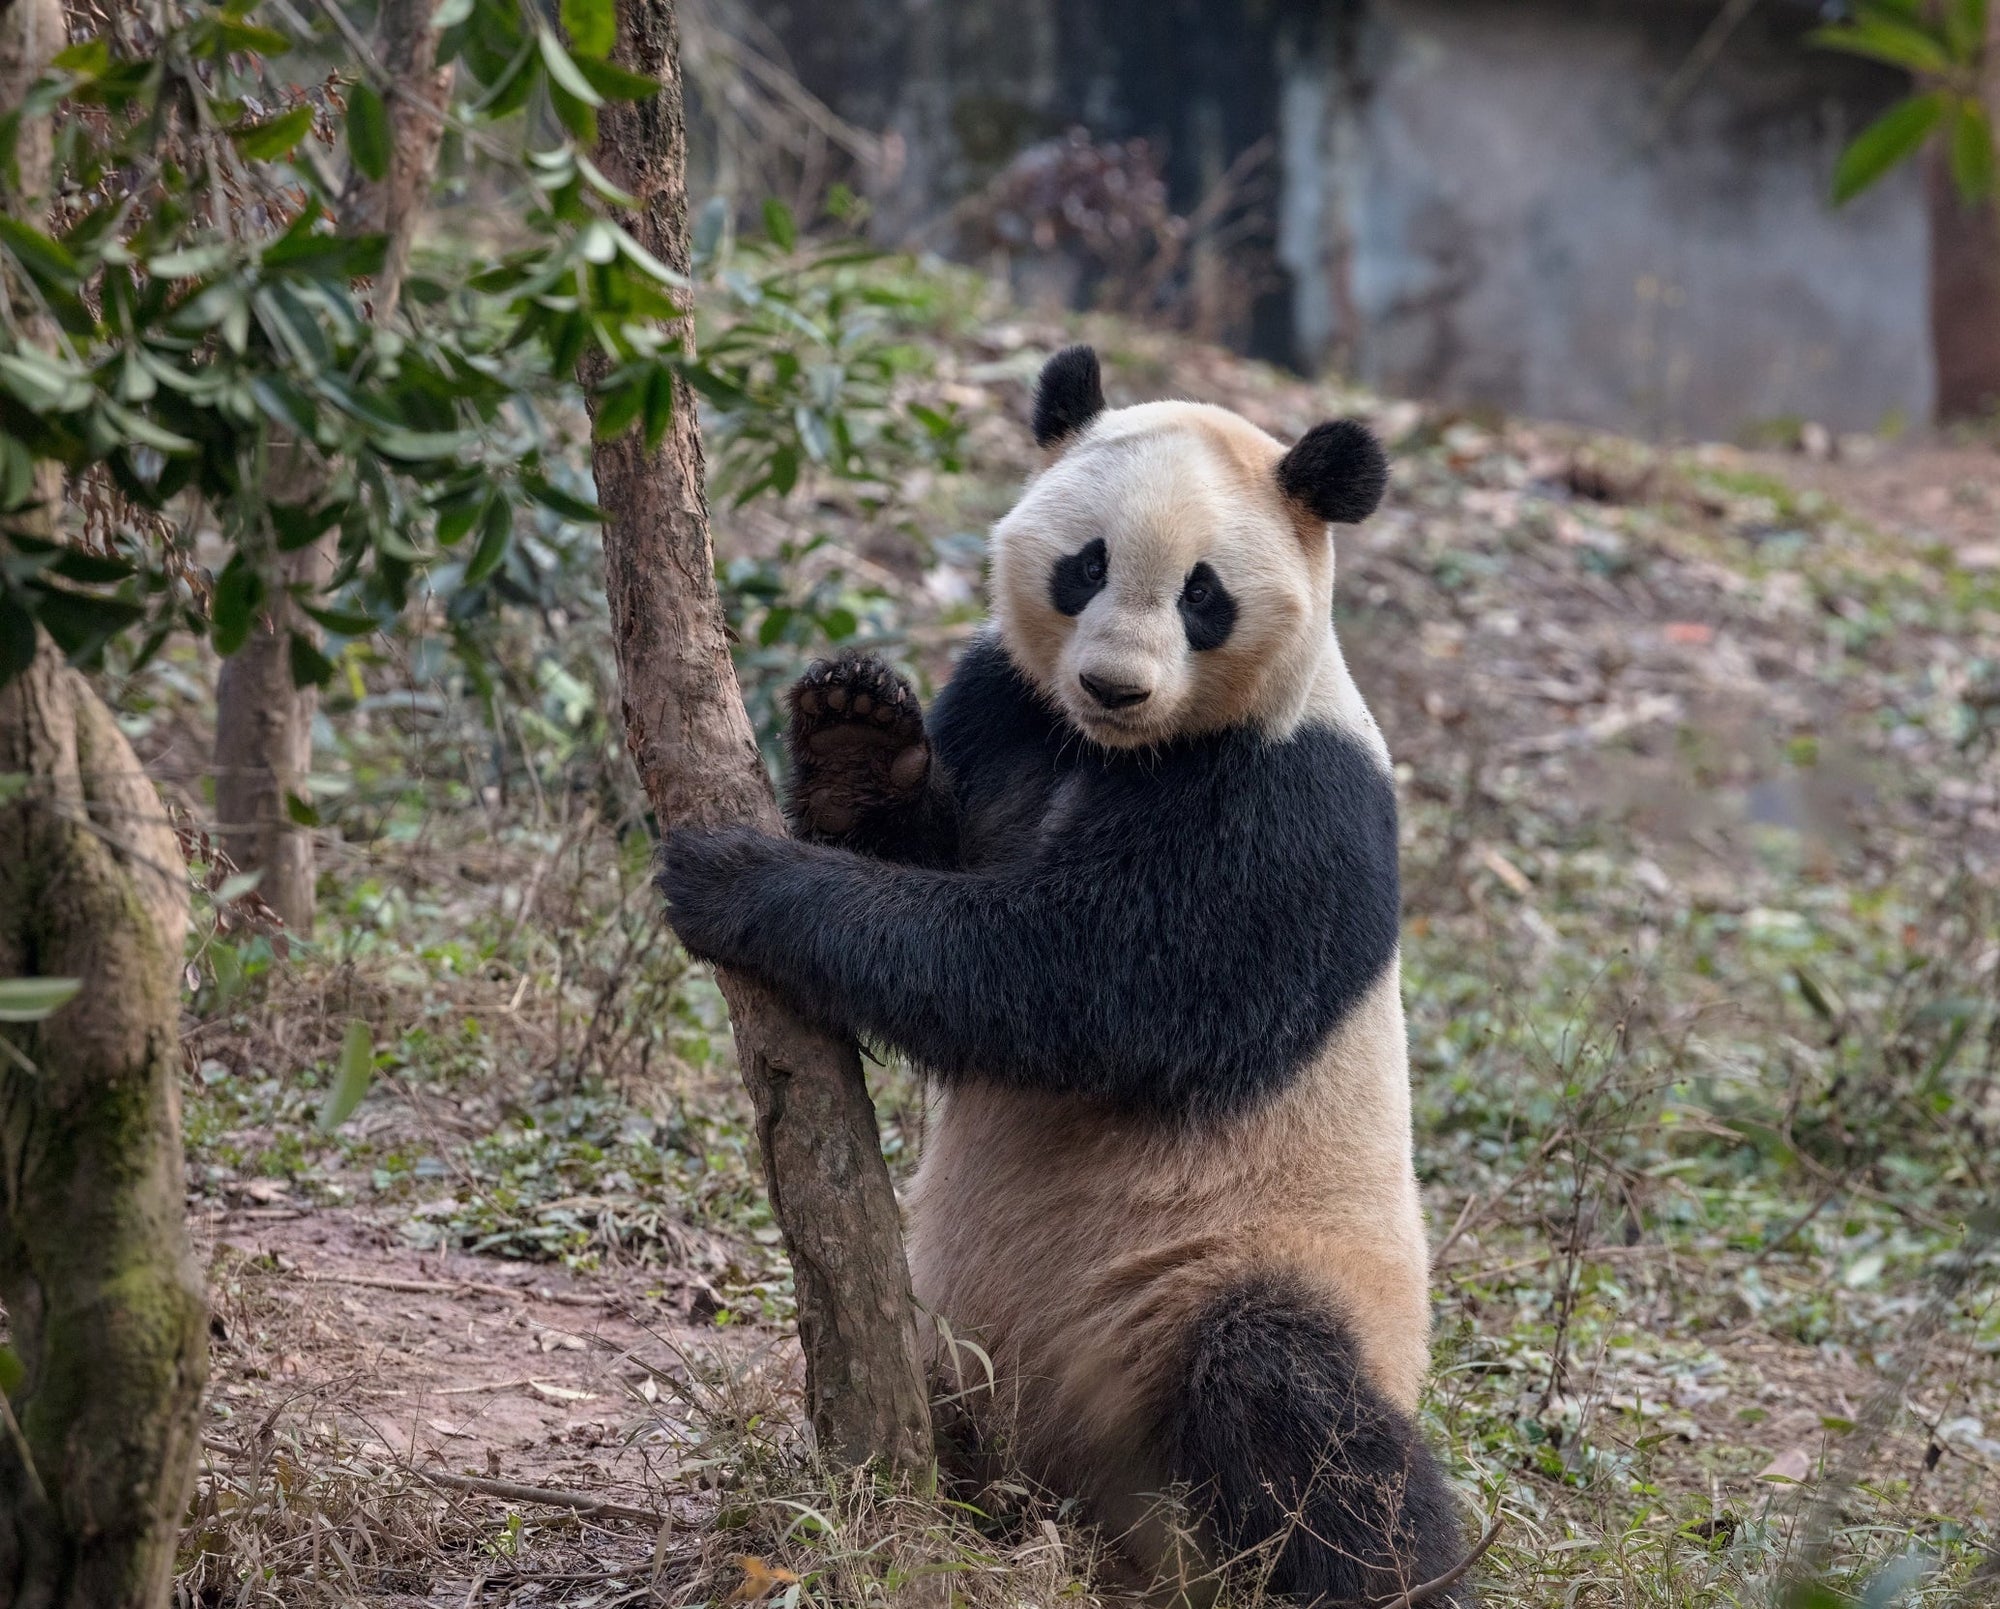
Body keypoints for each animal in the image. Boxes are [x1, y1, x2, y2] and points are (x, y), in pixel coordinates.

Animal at [668, 346, 1472, 1600]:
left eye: (1202, 596)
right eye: (1083, 563)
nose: (1113, 685)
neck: (1116, 754)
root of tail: (1114, 1516)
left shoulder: (1286, 801)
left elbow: (1082, 986)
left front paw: (737, 882)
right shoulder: (1009, 710)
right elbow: (931, 849)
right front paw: (852, 726)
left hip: (1247, 1274)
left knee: (1297, 1405)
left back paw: (1391, 1571)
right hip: (965, 1347)